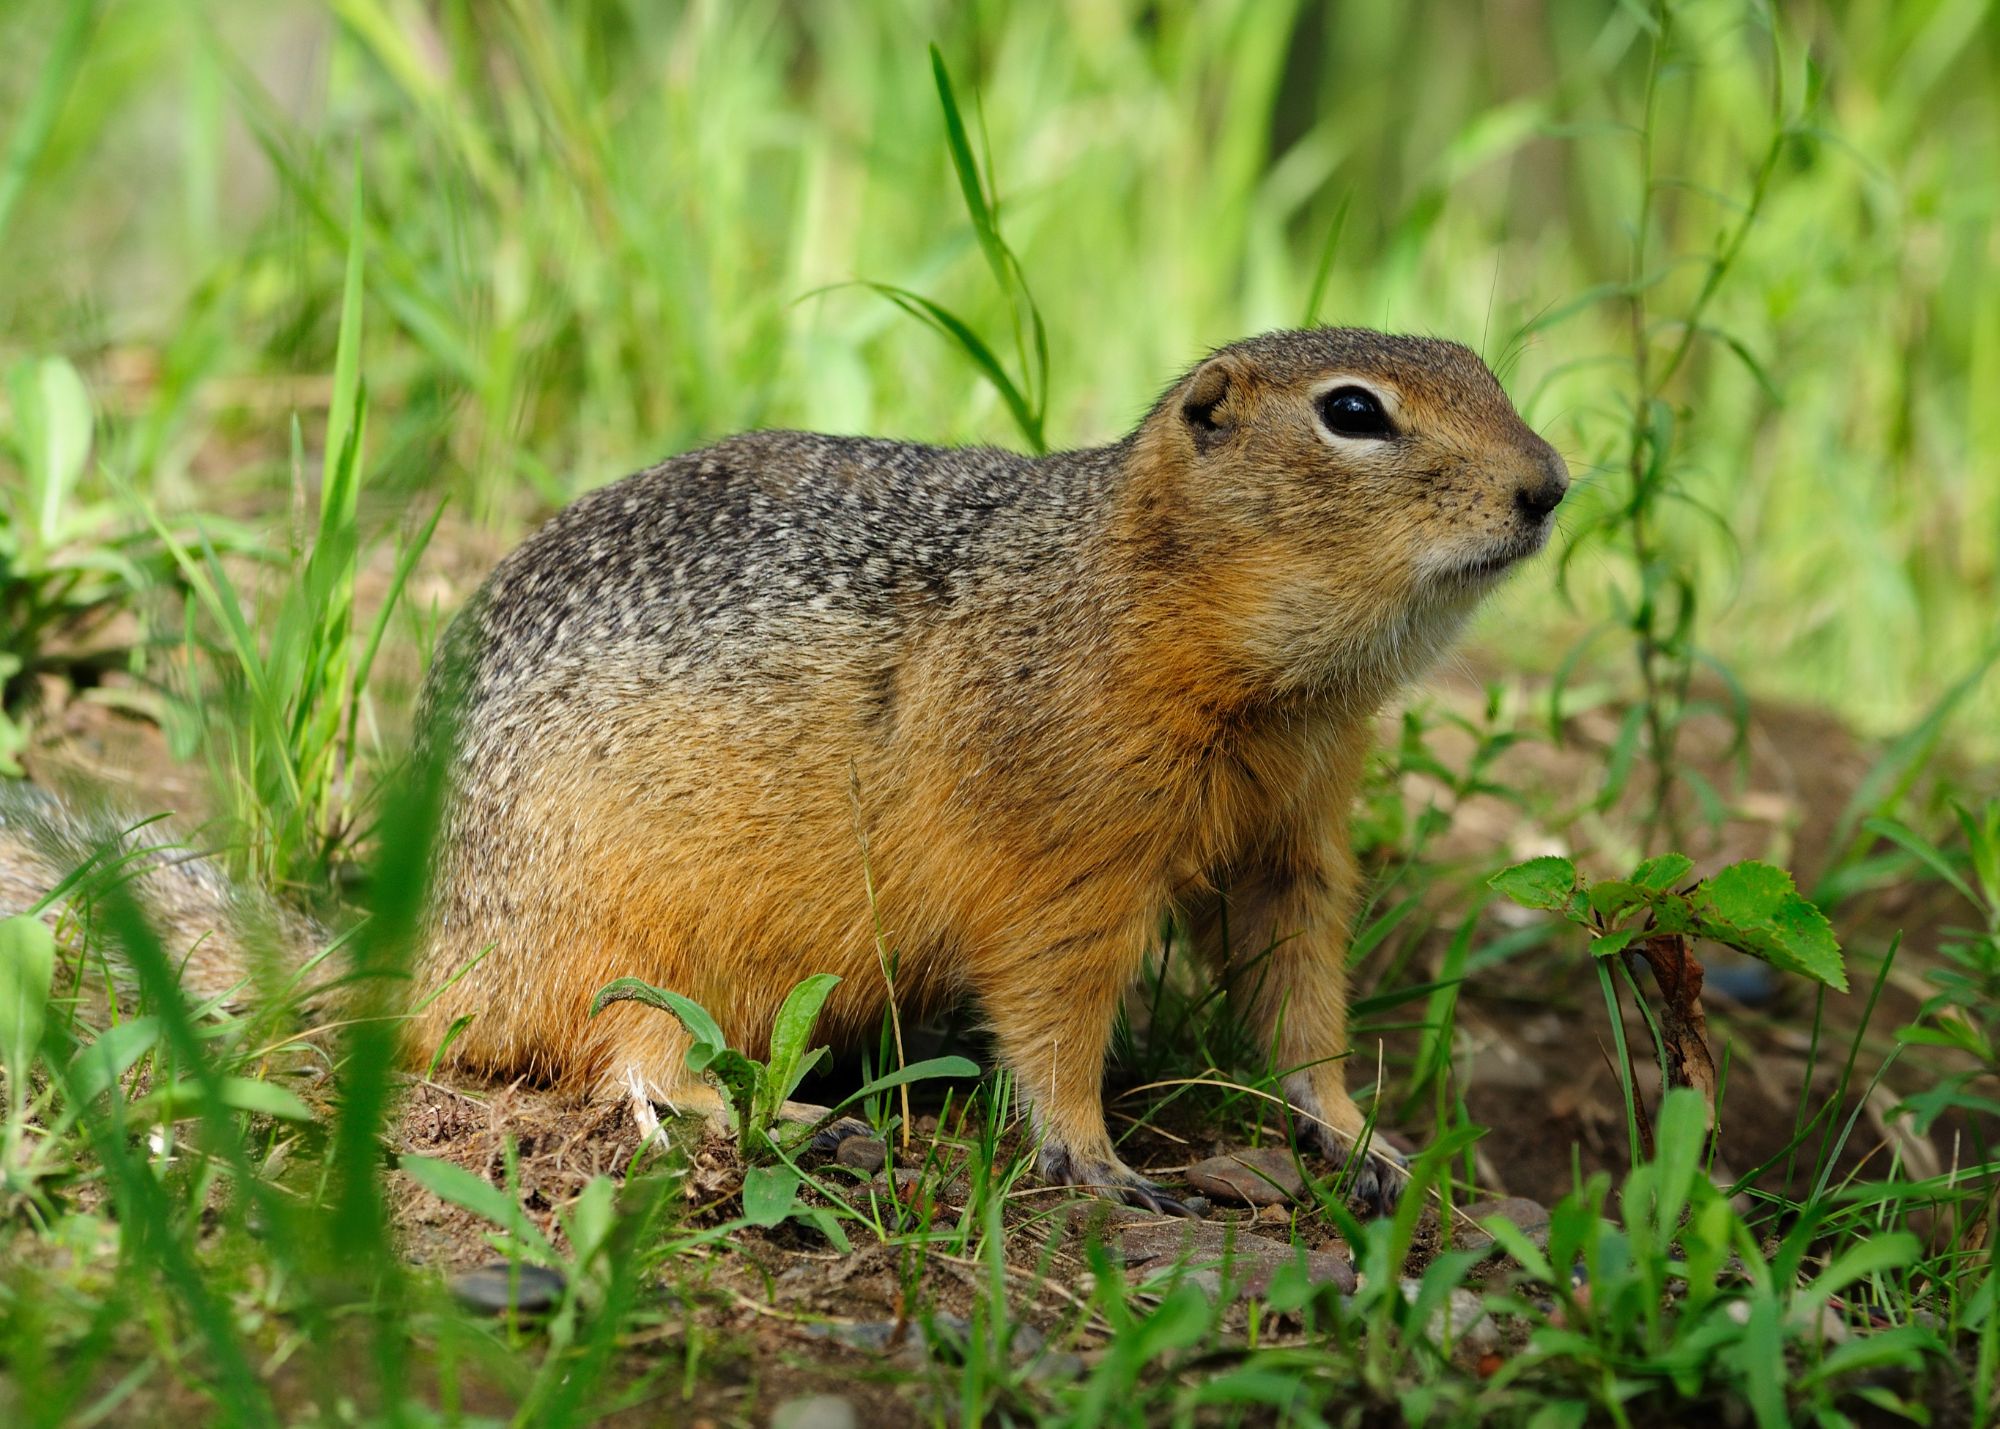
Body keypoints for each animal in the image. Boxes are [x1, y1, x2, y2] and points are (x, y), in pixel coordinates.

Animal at [1, 327, 1565, 1216]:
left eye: (1491, 372)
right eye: (1353, 413)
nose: (1549, 485)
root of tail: (433, 941)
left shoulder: (1293, 835)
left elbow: (1297, 996)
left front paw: (1357, 1136)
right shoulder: (1063, 847)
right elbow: (1053, 1013)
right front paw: (1100, 1159)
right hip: (633, 932)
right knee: (621, 1057)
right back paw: (773, 1117)